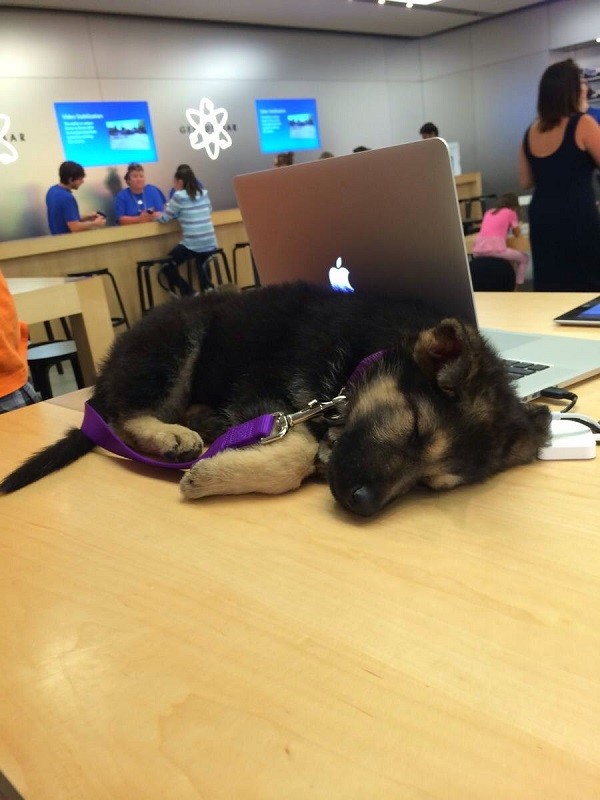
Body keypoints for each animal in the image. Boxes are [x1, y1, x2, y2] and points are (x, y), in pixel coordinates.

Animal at [1, 282, 552, 520]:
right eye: (416, 429)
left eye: (431, 485)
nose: (362, 507)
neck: (361, 360)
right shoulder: (265, 393)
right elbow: (296, 450)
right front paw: (210, 477)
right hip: (179, 339)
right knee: (119, 412)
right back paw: (168, 435)